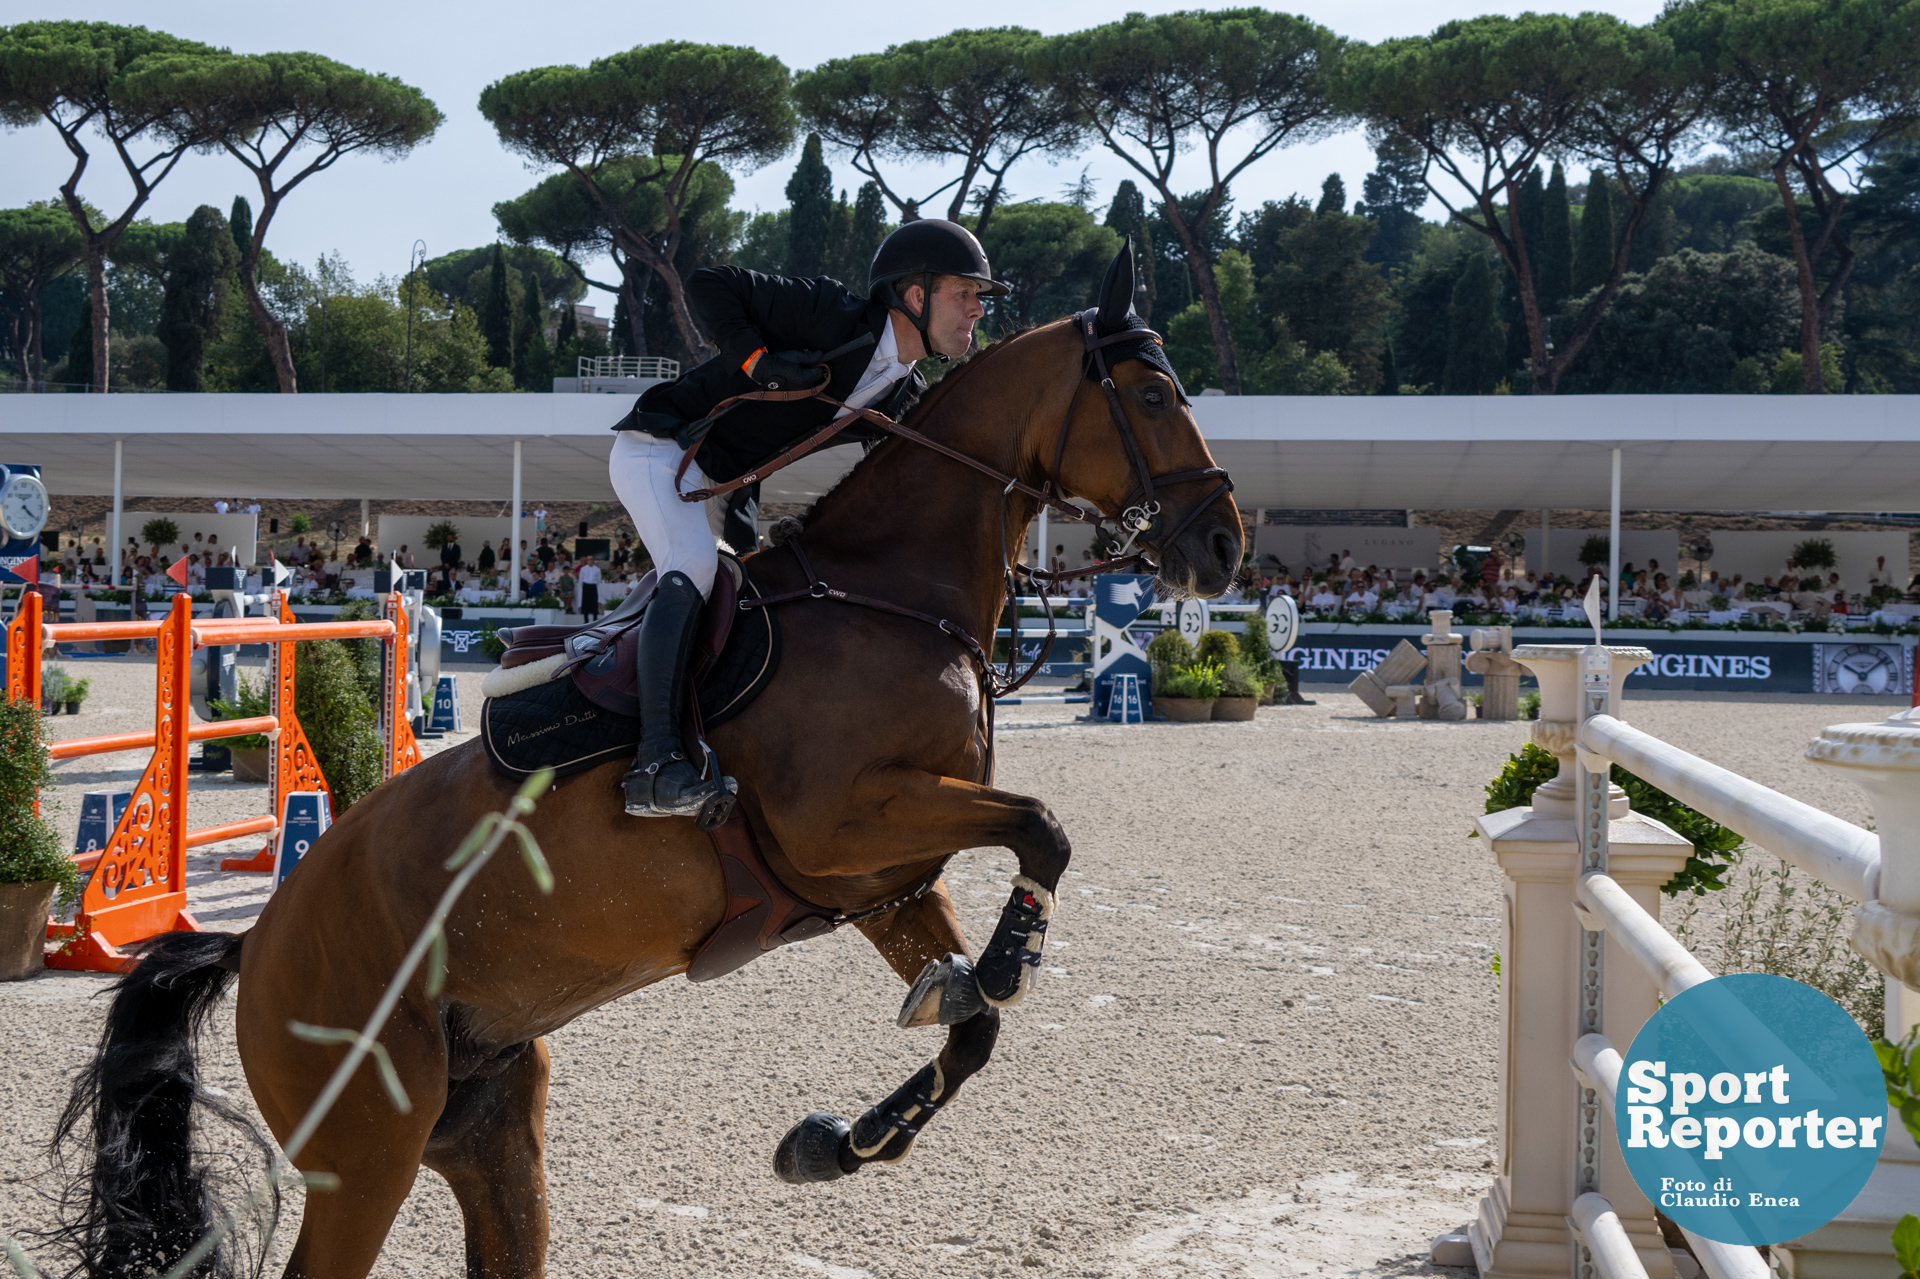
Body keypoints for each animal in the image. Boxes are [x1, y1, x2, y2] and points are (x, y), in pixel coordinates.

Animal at [52, 243, 1244, 1267]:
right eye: (1150, 397)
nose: (1222, 547)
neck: (894, 591)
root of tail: (255, 942)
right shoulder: (845, 820)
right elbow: (1043, 829)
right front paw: (1003, 963)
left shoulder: (881, 881)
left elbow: (974, 1028)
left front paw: (838, 1140)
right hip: (367, 1146)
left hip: (486, 1128)